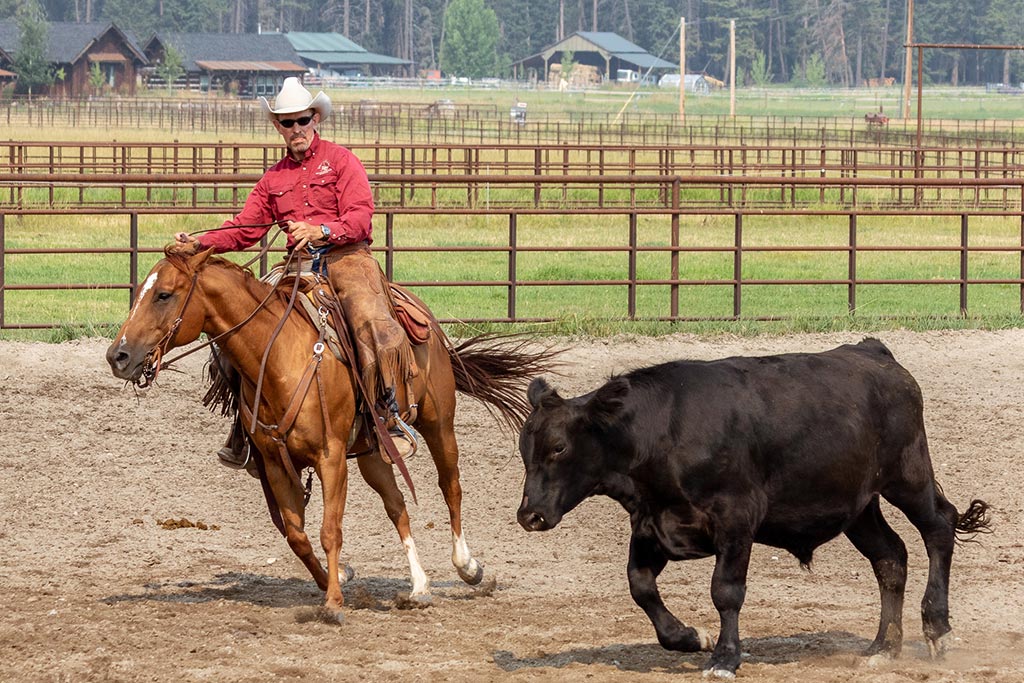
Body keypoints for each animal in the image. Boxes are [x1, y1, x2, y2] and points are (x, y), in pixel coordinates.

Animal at [108, 248, 557, 618]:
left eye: (164, 294)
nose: (118, 355)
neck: (281, 357)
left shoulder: (331, 458)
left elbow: (328, 531)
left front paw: (334, 603)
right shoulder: (276, 466)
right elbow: (297, 536)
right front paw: (335, 580)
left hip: (438, 424)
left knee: (451, 487)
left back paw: (468, 566)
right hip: (374, 452)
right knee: (397, 505)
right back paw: (419, 586)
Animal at [520, 339, 991, 679]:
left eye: (559, 447)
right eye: (524, 449)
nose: (530, 515)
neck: (664, 431)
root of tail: (872, 352)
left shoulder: (736, 519)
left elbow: (725, 591)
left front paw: (725, 658)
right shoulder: (652, 524)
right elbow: (640, 586)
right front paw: (690, 637)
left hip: (907, 476)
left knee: (939, 528)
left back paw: (939, 630)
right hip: (858, 505)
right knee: (891, 558)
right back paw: (883, 647)